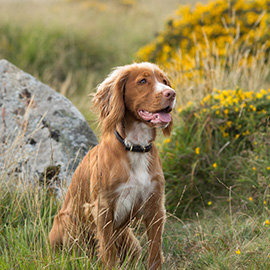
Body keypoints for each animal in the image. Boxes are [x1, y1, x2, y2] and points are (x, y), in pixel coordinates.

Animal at [48, 62, 175, 268]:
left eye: (164, 81)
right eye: (143, 81)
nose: (171, 93)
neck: (135, 147)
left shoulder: (155, 206)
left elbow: (155, 250)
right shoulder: (103, 208)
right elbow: (108, 252)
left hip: (130, 241)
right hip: (68, 222)